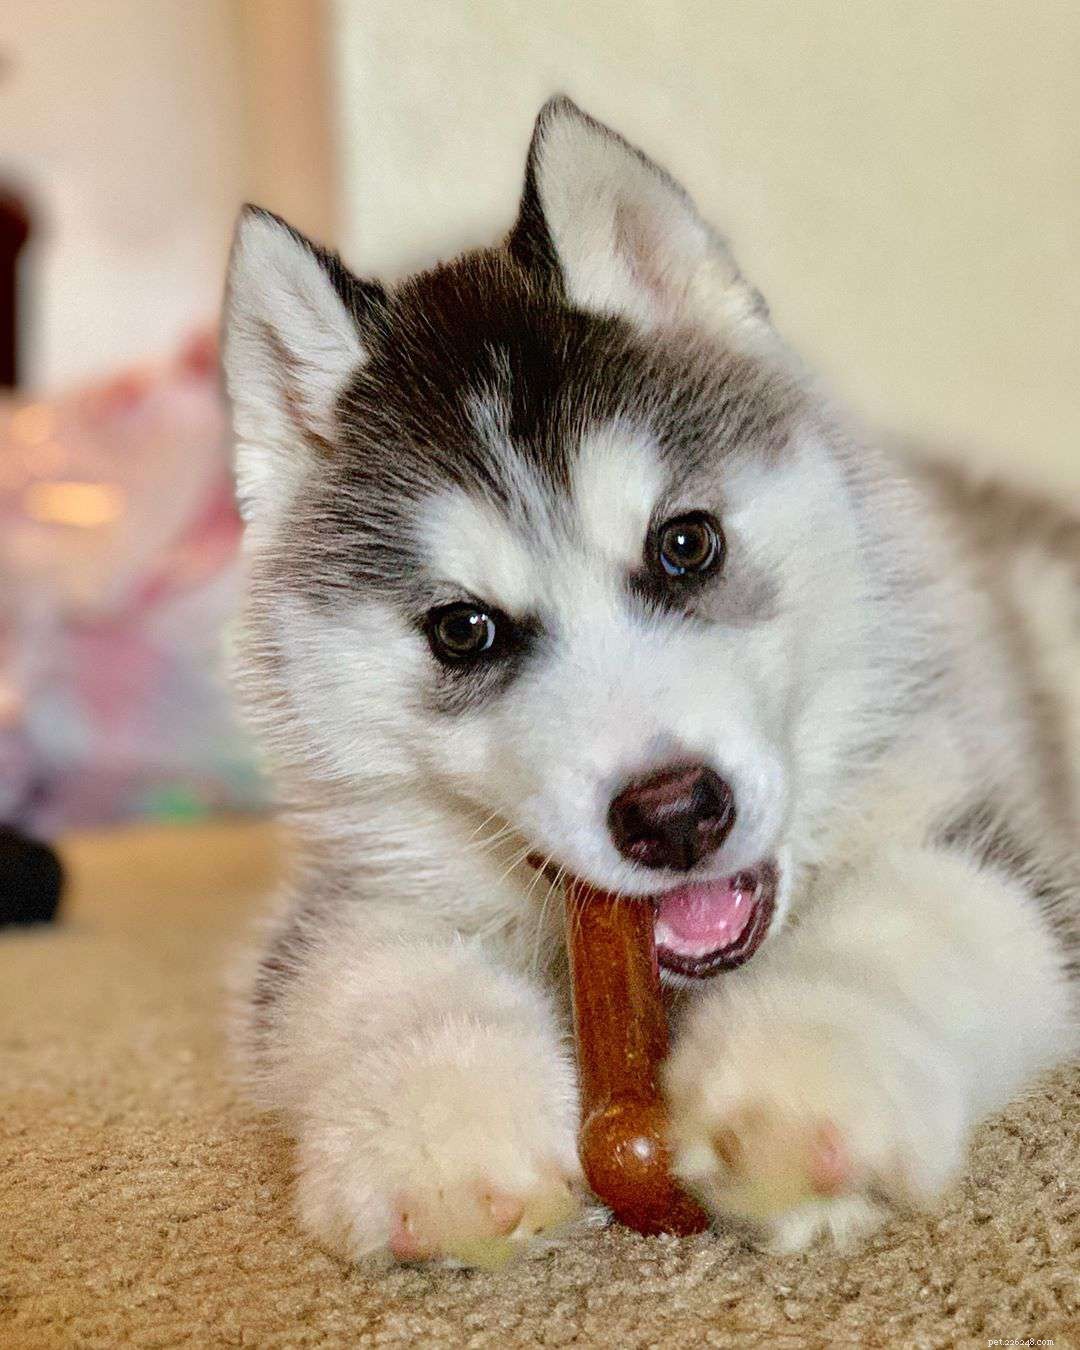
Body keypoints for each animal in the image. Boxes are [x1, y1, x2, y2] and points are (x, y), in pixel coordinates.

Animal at [221, 97, 1078, 1264]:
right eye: (464, 630)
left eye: (685, 544)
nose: (674, 816)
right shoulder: (356, 887)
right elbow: (379, 969)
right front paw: (441, 1137)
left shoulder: (989, 836)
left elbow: (905, 922)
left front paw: (799, 1089)